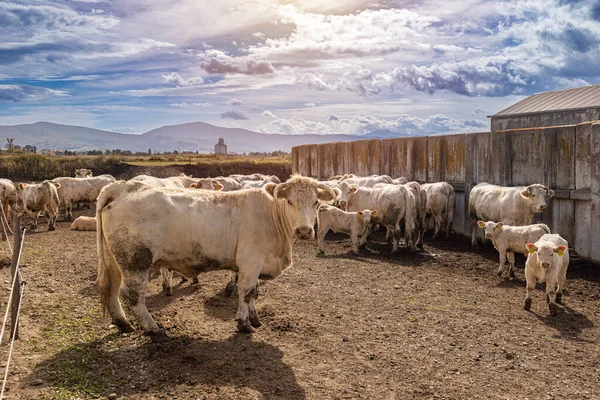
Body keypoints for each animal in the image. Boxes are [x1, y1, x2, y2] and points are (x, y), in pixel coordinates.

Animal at [96, 175, 336, 340]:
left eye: (316, 202)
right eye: (289, 202)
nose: (304, 231)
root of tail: (123, 186)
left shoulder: (255, 265)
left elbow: (254, 292)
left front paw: (255, 319)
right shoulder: (251, 261)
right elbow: (246, 292)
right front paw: (244, 324)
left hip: (115, 260)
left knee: (113, 288)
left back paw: (123, 323)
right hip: (136, 261)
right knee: (132, 295)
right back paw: (154, 330)